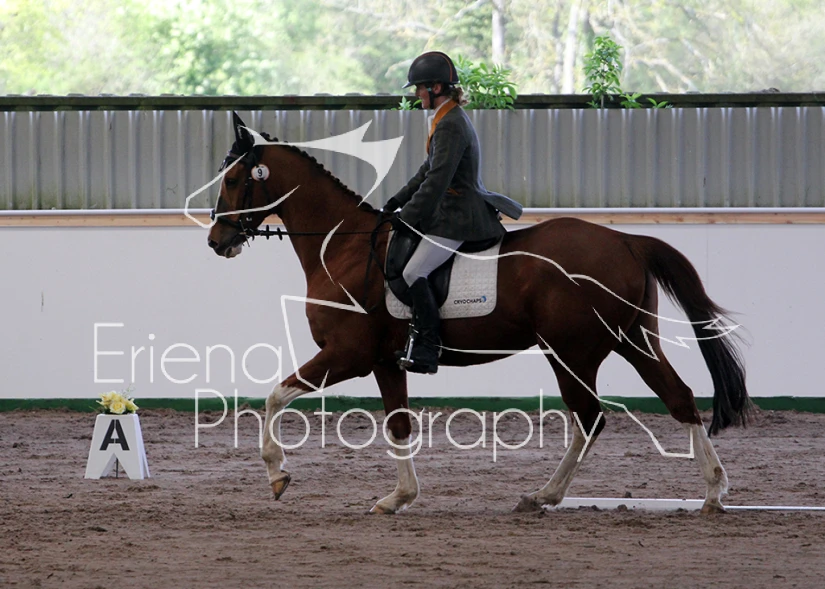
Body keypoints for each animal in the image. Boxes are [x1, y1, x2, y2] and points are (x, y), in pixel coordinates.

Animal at [206, 112, 749, 515]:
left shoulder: (347, 355)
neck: (342, 246)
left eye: (233, 179)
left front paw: (277, 473)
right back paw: (712, 491)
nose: (216, 241)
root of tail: (626, 241)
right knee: (677, 397)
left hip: (572, 352)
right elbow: (398, 425)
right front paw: (399, 498)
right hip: (631, 339)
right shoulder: (384, 362)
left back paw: (546, 495)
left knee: (591, 418)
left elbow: (275, 396)